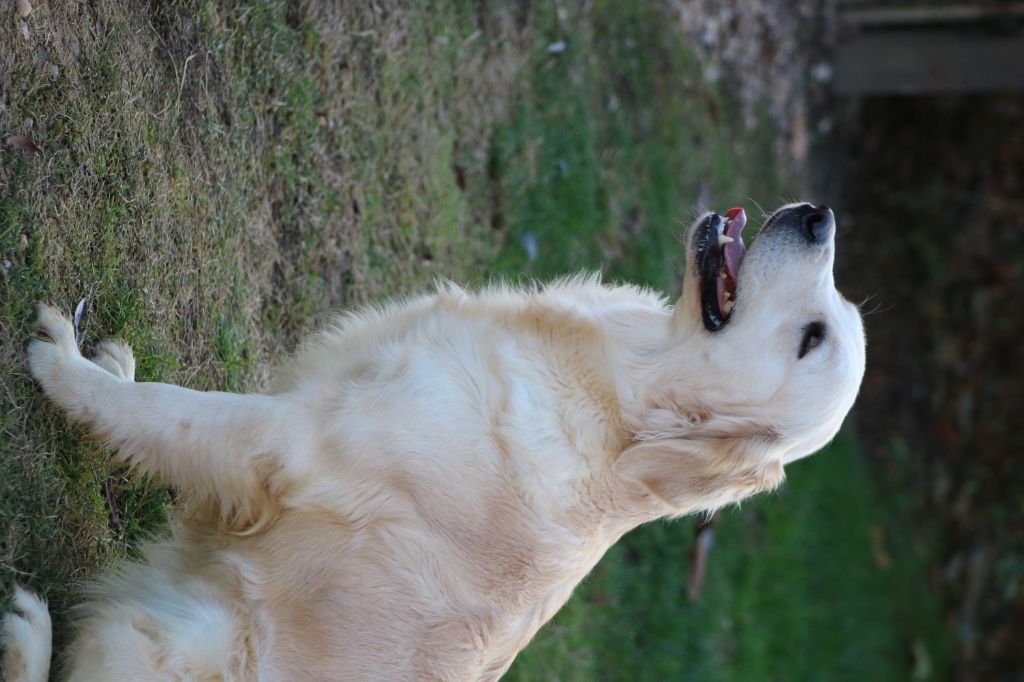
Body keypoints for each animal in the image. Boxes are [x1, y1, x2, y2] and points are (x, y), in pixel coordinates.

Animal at [2, 202, 864, 679]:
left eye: (812, 337)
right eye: (832, 318)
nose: (820, 215)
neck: (619, 401)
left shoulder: (289, 437)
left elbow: (168, 411)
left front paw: (67, 370)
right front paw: (107, 359)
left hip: (157, 631)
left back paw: (26, 635)